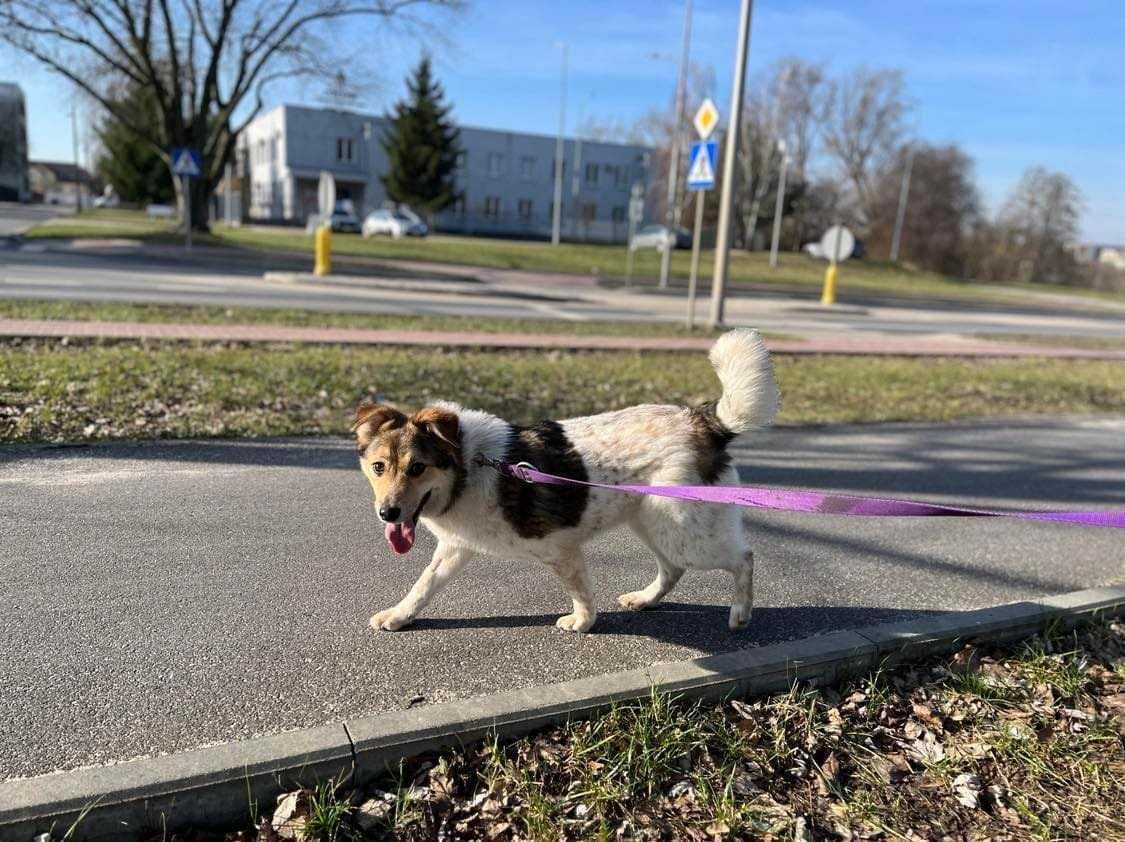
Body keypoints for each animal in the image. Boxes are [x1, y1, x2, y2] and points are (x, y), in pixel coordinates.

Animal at [355, 328, 778, 630]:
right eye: (379, 468)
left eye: (417, 468)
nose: (387, 514)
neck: (468, 468)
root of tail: (705, 422)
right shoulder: (455, 548)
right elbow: (422, 586)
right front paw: (399, 615)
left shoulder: (561, 549)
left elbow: (579, 591)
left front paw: (583, 623)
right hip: (656, 525)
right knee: (673, 569)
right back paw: (644, 599)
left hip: (687, 534)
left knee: (744, 558)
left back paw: (740, 613)